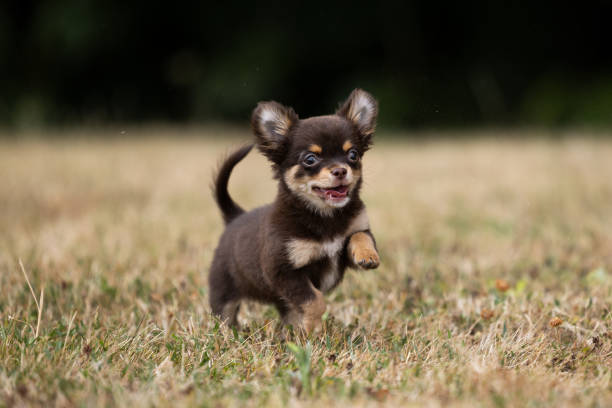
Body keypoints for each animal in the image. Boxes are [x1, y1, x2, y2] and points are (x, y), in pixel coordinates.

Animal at [212, 88, 382, 332]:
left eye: (353, 155)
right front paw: (314, 330)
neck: (325, 216)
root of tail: (235, 216)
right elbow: (314, 300)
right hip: (224, 291)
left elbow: (360, 236)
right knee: (225, 315)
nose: (341, 170)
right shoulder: (284, 272)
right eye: (310, 159)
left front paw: (367, 255)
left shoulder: (353, 236)